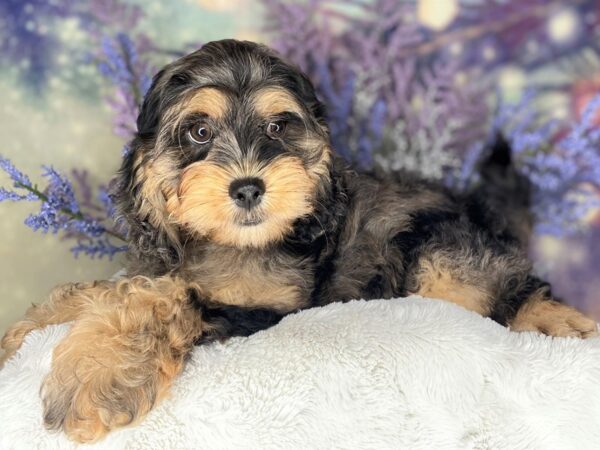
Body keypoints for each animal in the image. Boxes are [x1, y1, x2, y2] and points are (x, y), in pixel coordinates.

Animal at [2, 41, 596, 442]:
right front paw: (26, 330)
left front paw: (100, 376)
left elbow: (166, 296)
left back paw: (556, 319)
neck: (229, 244)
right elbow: (113, 286)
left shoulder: (266, 310)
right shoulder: (161, 261)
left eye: (278, 127)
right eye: (199, 132)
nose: (248, 187)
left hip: (441, 254)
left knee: (506, 287)